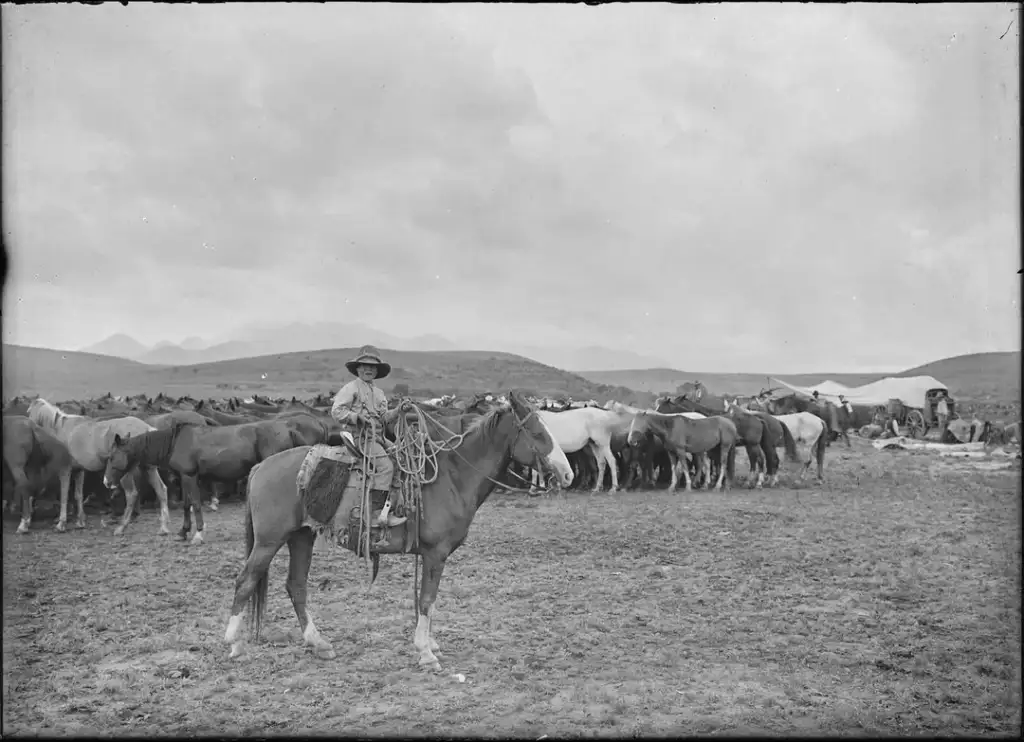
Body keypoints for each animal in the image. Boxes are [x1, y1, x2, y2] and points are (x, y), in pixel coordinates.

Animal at [102, 417, 307, 544]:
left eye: (112, 457)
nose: (106, 482)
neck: (174, 442)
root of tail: (288, 429)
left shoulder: (190, 476)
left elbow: (195, 503)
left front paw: (198, 534)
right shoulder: (185, 477)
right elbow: (187, 504)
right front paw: (183, 532)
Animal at [221, 390, 573, 667]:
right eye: (538, 433)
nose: (567, 473)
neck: (453, 477)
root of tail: (261, 467)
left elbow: (428, 600)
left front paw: (429, 645)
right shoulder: (435, 553)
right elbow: (427, 599)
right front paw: (426, 653)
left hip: (301, 537)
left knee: (295, 586)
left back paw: (318, 643)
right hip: (269, 541)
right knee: (246, 581)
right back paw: (234, 644)